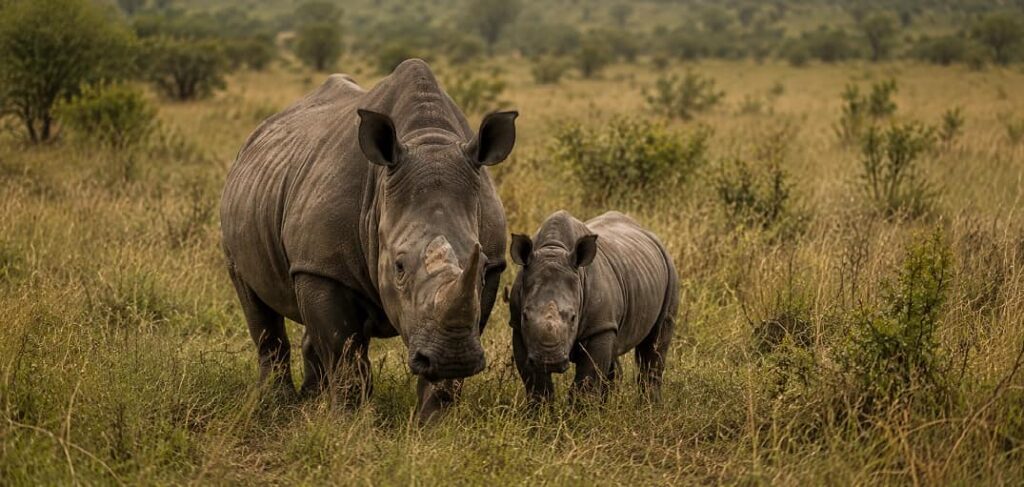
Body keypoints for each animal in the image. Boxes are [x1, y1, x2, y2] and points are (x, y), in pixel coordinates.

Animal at [220, 59, 516, 421]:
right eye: (399, 266)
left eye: (483, 264)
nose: (453, 358)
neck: (427, 138)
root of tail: (257, 134)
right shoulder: (322, 267)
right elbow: (344, 353)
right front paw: (346, 423)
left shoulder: (490, 271)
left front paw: (434, 423)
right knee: (255, 304)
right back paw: (279, 404)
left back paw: (308, 400)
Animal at [508, 210, 678, 402]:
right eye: (525, 316)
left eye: (573, 317)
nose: (548, 361)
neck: (553, 249)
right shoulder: (517, 327)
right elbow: (536, 383)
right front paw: (541, 410)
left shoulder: (599, 326)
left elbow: (586, 382)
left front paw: (580, 410)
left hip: (670, 271)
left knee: (655, 343)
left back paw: (649, 405)